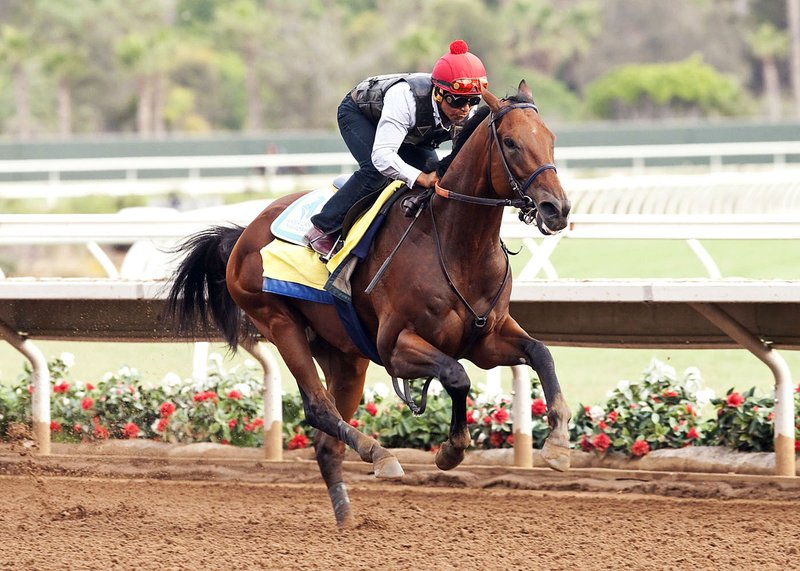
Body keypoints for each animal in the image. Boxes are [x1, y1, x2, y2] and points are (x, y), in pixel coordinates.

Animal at [167, 80, 568, 528]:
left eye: (550, 138)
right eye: (512, 143)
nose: (556, 208)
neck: (455, 244)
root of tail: (242, 234)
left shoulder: (486, 339)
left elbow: (541, 353)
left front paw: (557, 444)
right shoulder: (396, 348)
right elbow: (456, 375)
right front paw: (451, 450)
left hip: (344, 353)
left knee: (326, 441)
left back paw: (346, 516)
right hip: (278, 322)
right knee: (319, 409)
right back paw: (380, 455)